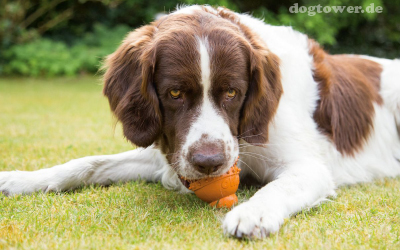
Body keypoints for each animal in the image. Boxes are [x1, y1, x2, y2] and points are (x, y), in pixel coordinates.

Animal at [0, 5, 400, 238]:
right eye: (175, 93)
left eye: (233, 92)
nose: (209, 163)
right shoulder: (168, 152)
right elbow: (87, 163)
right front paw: (21, 179)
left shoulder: (309, 166)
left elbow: (281, 186)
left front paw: (252, 213)